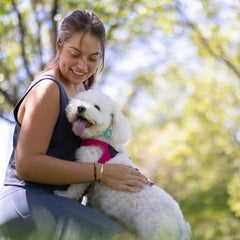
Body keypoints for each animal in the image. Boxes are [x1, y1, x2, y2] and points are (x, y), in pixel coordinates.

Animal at [54, 89, 191, 239]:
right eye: (81, 100)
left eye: (97, 107)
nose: (81, 108)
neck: (103, 139)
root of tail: (181, 225)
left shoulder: (87, 165)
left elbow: (75, 187)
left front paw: (64, 195)